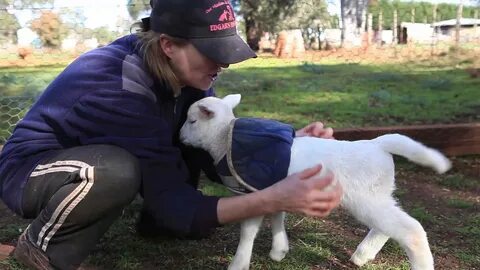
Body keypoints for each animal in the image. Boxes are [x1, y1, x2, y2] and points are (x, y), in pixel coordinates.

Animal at [178, 94, 452, 270]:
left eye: (192, 121)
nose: (179, 137)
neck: (223, 139)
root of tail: (378, 144)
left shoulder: (251, 190)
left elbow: (248, 231)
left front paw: (239, 264)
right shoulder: (274, 189)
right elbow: (277, 216)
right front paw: (279, 250)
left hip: (367, 197)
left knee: (411, 230)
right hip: (379, 195)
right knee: (387, 227)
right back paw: (362, 255)